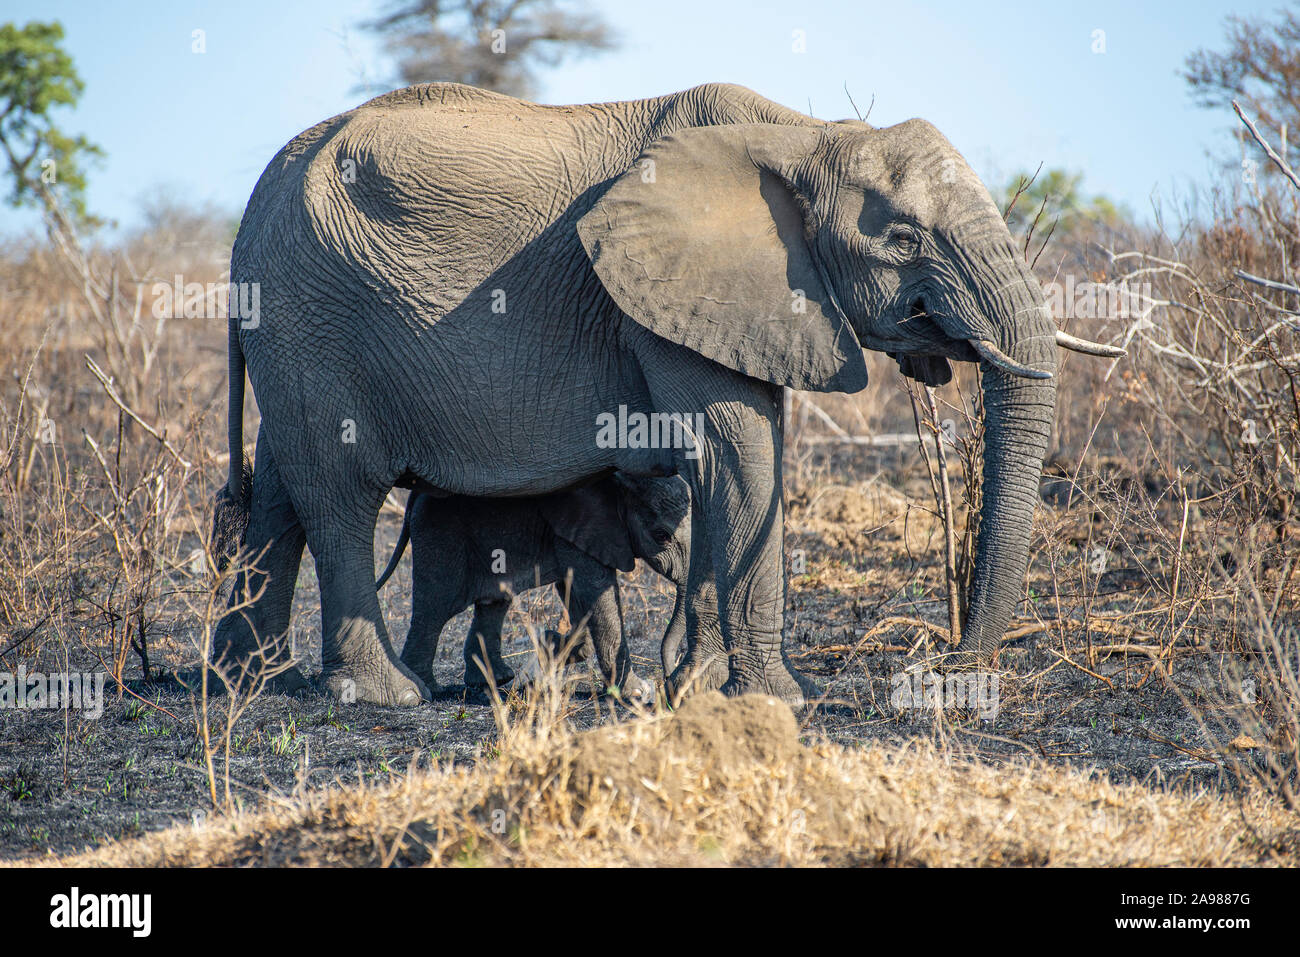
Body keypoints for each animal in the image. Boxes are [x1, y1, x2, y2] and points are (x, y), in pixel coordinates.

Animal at [374, 473, 692, 703]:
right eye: (661, 535)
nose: (668, 678)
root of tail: (414, 495)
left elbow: (572, 590)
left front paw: (550, 644)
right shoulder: (583, 530)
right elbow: (594, 590)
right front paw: (637, 693)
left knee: (493, 602)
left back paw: (495, 679)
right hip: (440, 536)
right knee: (435, 608)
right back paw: (427, 690)